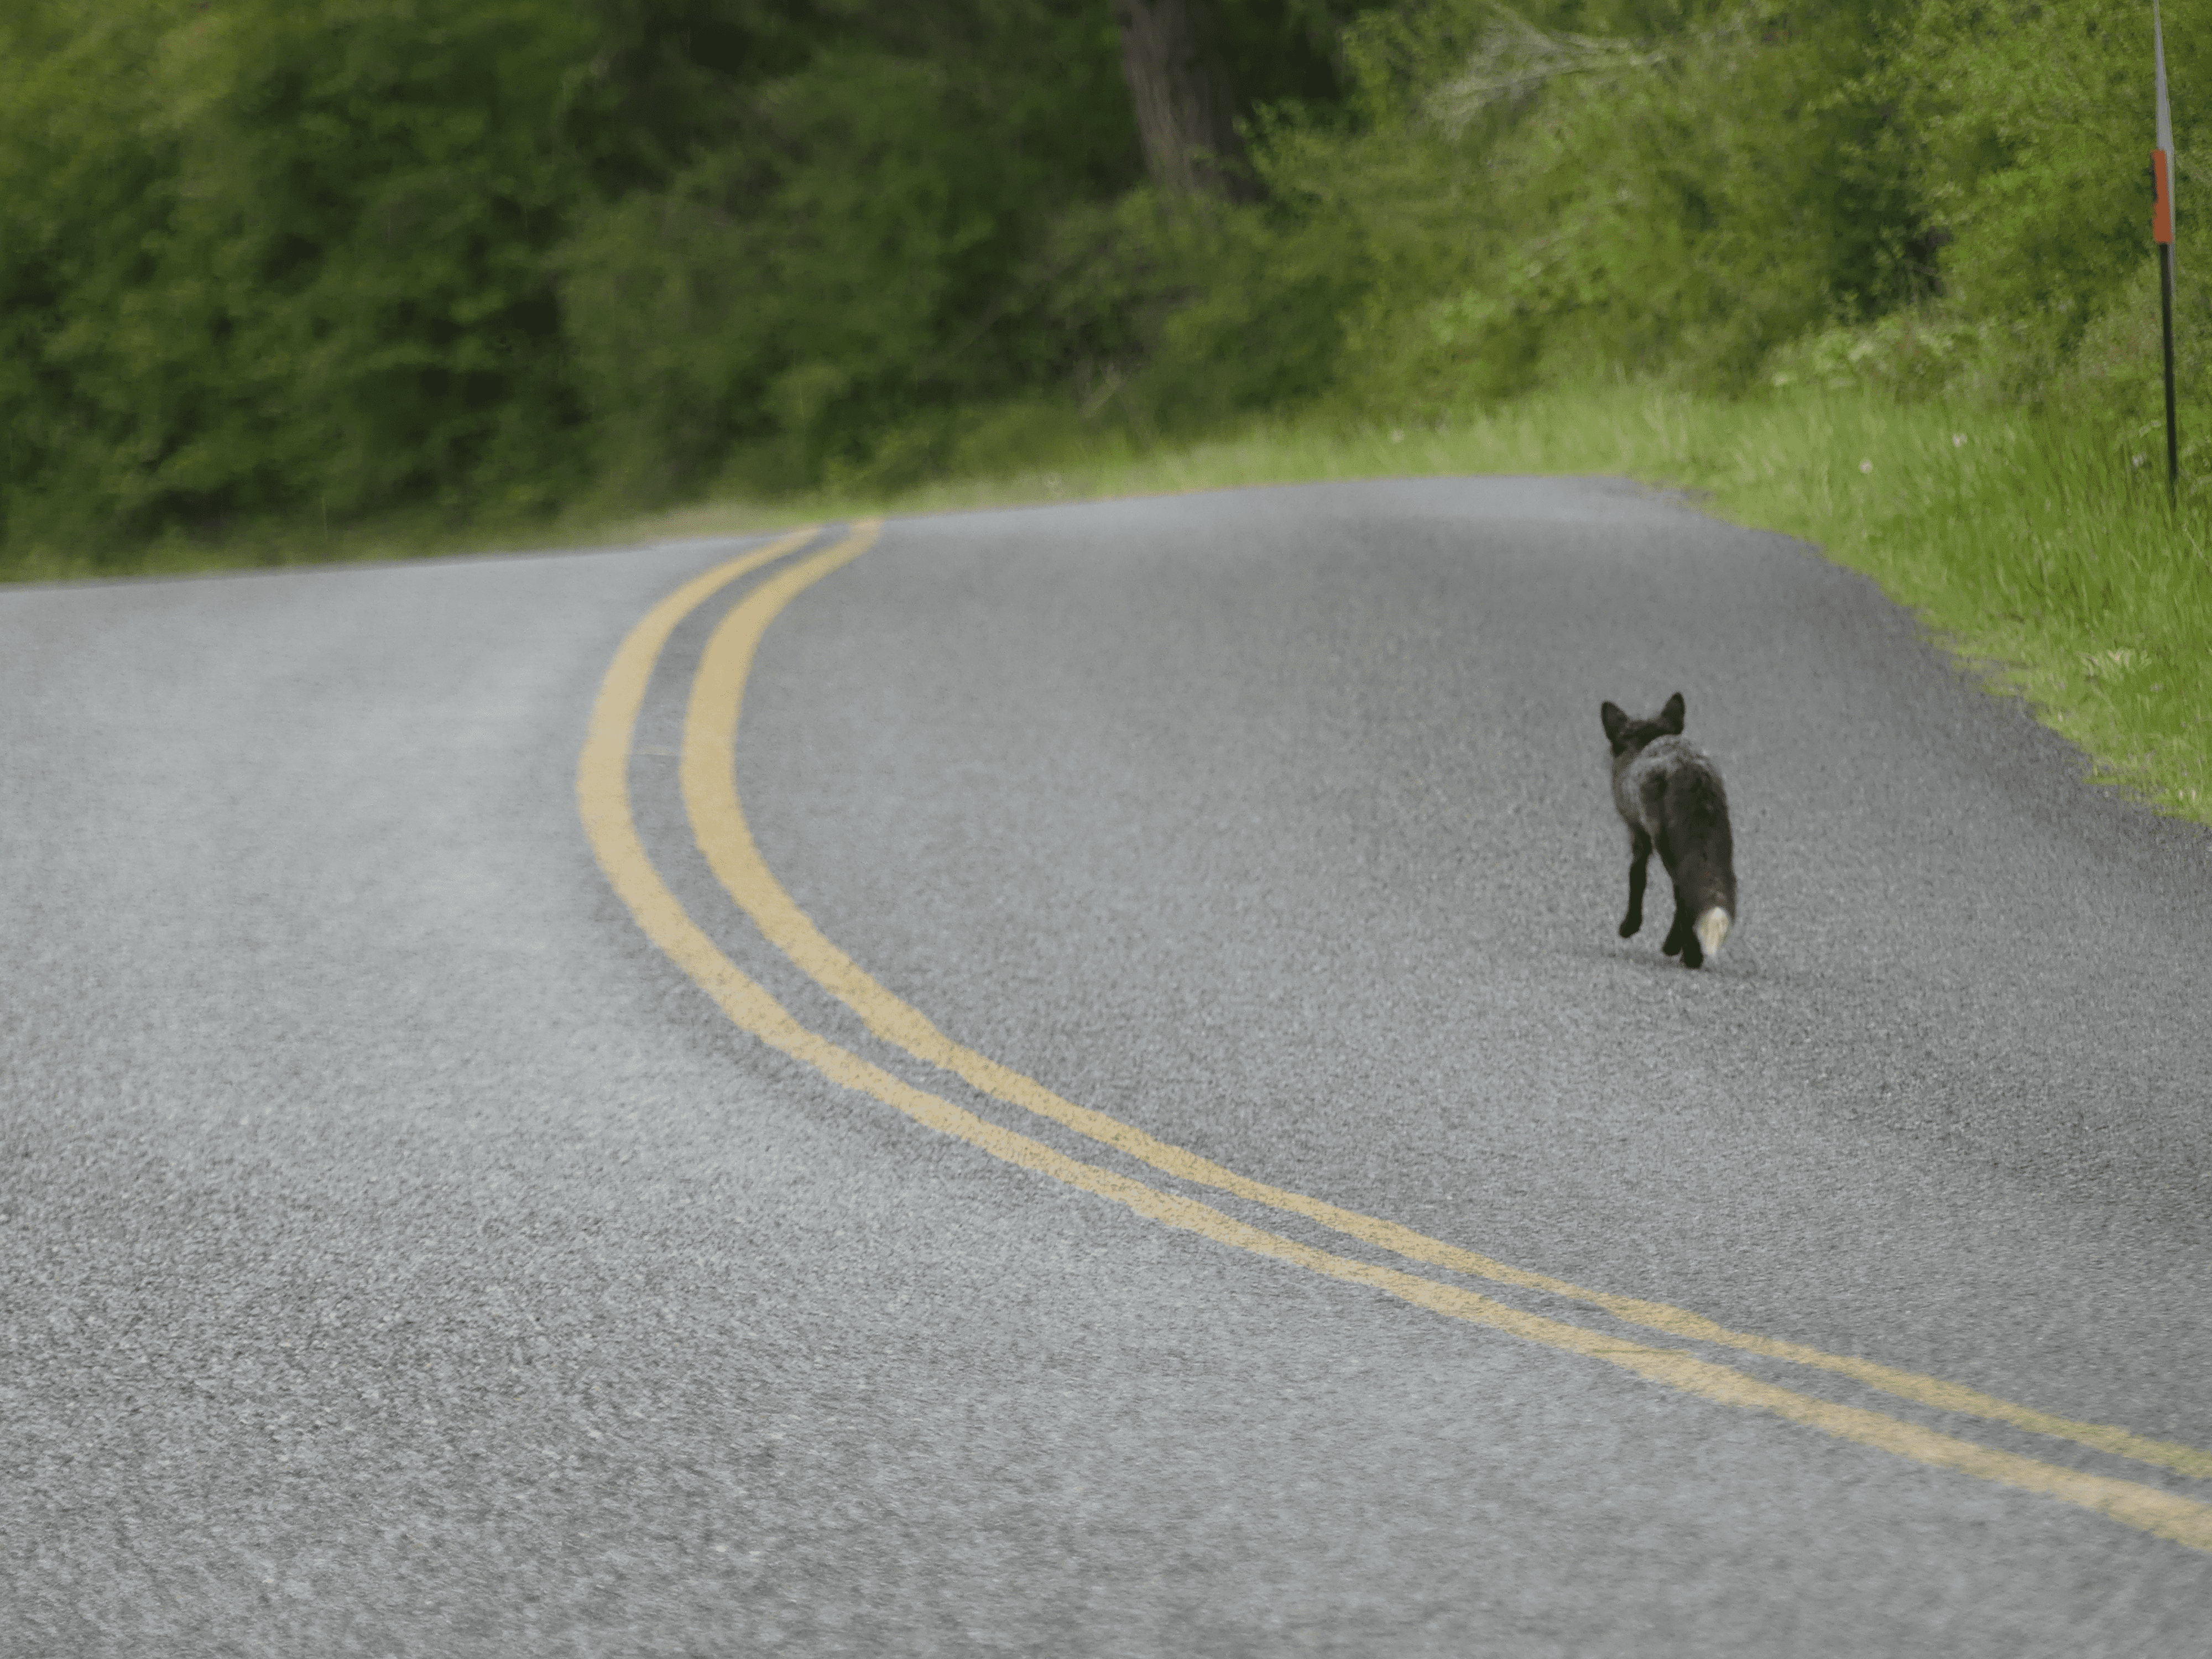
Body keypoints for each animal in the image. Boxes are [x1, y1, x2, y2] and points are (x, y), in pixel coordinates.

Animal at [1601, 691, 1736, 969]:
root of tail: (1691, 772)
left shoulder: (1639, 834)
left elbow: (1637, 879)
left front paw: (1630, 926)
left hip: (1668, 846)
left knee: (1682, 893)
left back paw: (1684, 951)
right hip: (1720, 843)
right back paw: (1686, 951)